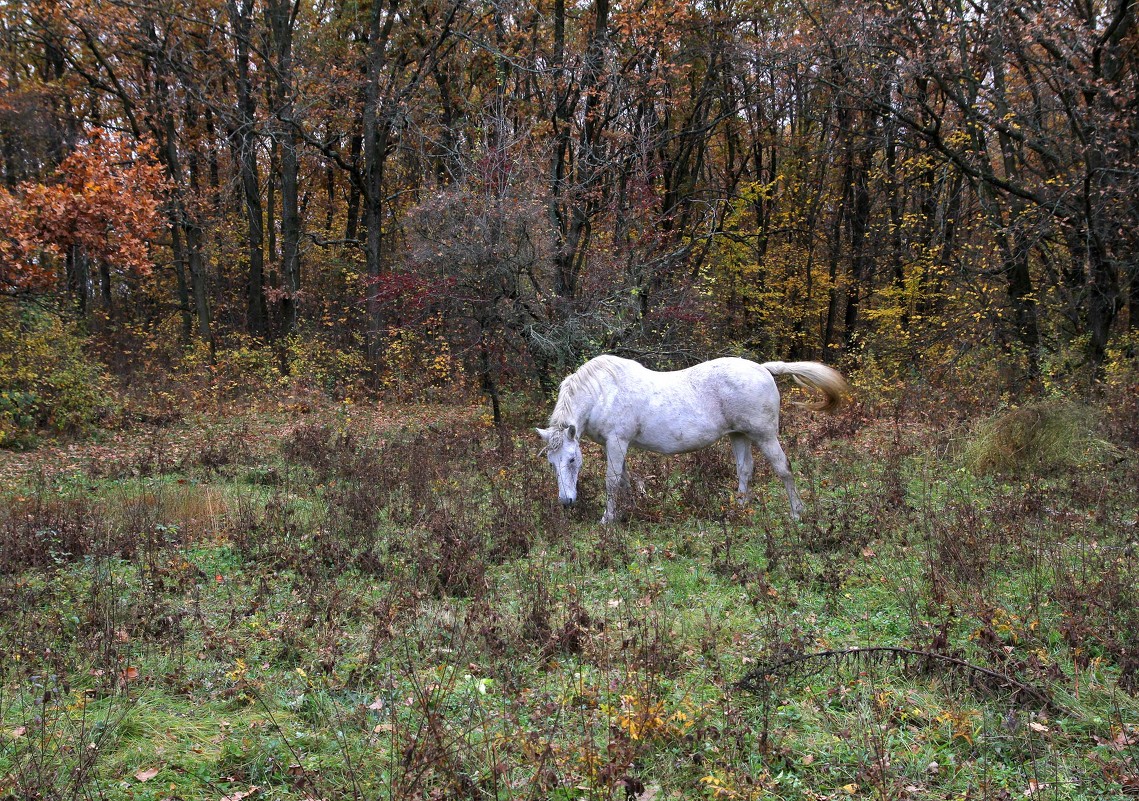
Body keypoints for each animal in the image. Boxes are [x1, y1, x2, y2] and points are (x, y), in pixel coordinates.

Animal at [537, 357, 851, 526]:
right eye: (551, 463)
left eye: (572, 459)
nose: (566, 501)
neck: (603, 392)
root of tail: (762, 369)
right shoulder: (613, 445)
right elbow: (624, 480)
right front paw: (631, 508)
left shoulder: (617, 441)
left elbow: (612, 481)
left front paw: (608, 518)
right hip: (739, 435)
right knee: (744, 469)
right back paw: (739, 507)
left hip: (764, 436)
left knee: (783, 469)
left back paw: (797, 513)